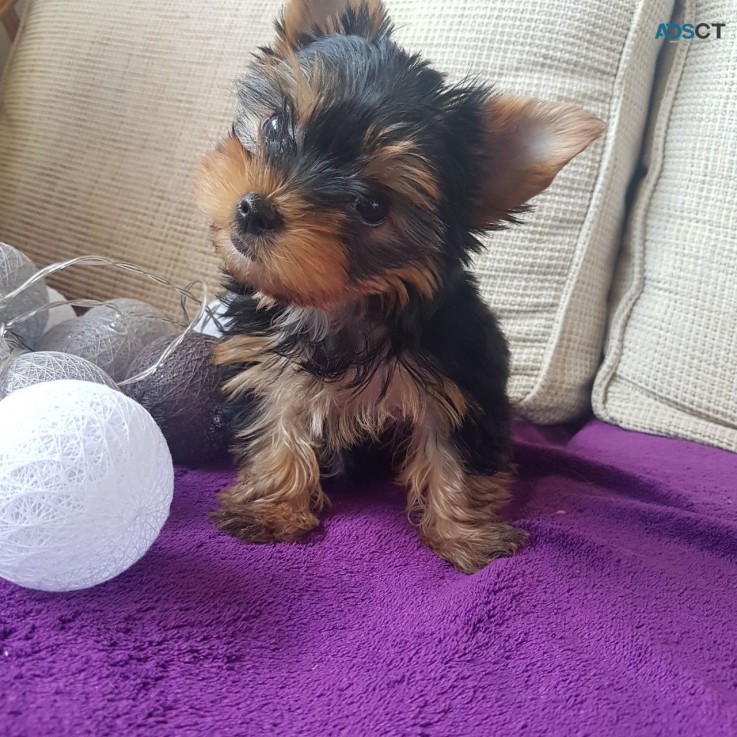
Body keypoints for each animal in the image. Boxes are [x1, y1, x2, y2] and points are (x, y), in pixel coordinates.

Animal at [198, 0, 600, 572]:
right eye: (276, 125)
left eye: (371, 205)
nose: (254, 209)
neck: (344, 305)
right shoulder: (264, 365)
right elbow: (275, 426)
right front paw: (270, 508)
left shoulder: (458, 382)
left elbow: (452, 456)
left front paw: (466, 535)